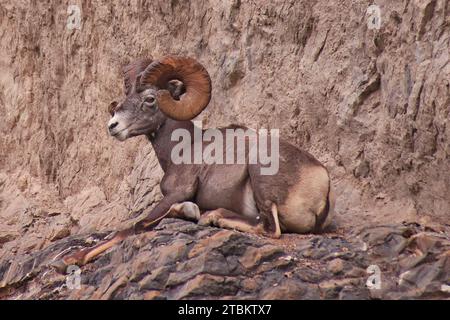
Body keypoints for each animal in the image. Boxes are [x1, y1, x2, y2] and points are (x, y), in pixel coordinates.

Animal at [53, 56, 334, 268]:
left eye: (150, 99)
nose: (113, 126)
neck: (183, 148)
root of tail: (321, 181)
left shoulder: (177, 191)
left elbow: (133, 226)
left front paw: (70, 259)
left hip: (260, 174)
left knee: (270, 228)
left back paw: (213, 216)